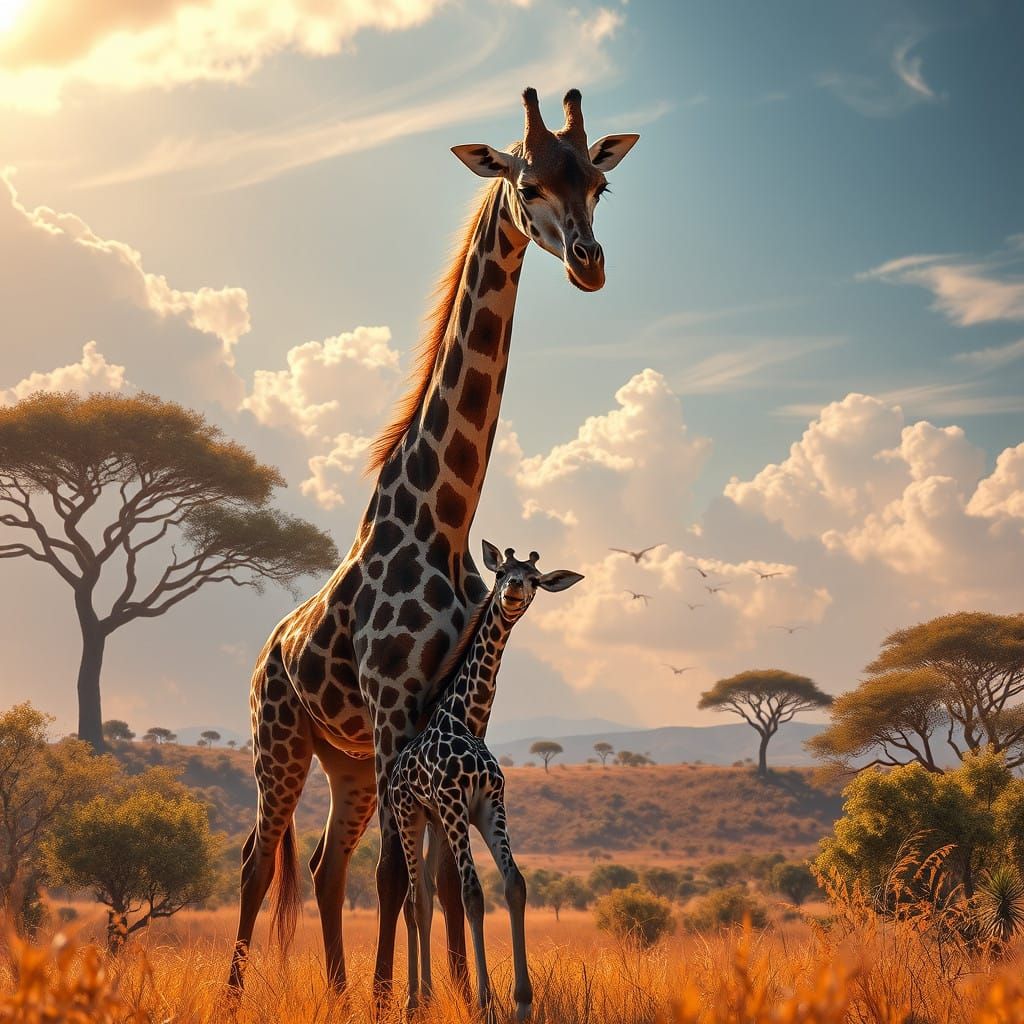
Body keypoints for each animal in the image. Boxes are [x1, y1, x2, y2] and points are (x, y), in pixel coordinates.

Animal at [389, 541, 583, 1021]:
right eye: (500, 573)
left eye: (534, 579)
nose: (512, 591)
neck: (464, 717)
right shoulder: (456, 803)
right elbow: (473, 894)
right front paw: (484, 1001)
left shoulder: (489, 805)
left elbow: (514, 885)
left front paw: (523, 1001)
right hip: (410, 815)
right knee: (412, 900)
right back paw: (412, 1000)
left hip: (436, 824)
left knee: (425, 897)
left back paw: (426, 996)